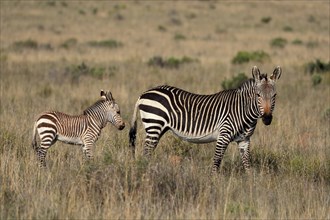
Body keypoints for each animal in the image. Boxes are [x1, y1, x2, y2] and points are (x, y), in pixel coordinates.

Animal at [129, 66, 282, 173]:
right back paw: (147, 172)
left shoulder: (244, 140)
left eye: (274, 95)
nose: (267, 119)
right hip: (154, 124)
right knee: (146, 152)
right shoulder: (223, 135)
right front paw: (214, 183)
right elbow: (216, 161)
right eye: (258, 95)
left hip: (157, 128)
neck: (243, 110)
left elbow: (247, 165)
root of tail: (143, 94)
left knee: (148, 151)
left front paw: (252, 186)